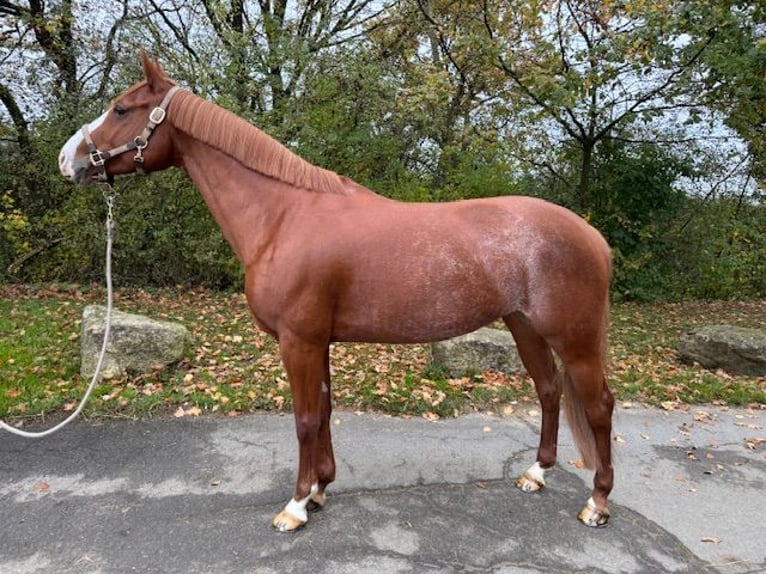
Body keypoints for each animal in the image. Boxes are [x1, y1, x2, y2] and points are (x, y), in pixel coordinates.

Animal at [58, 51, 616, 532]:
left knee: (598, 407)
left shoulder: (299, 341)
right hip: (525, 328)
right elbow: (324, 412)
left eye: (121, 108)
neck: (282, 217)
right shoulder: (317, 342)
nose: (69, 160)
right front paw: (320, 490)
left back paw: (598, 502)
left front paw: (295, 506)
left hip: (575, 340)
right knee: (548, 391)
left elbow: (305, 419)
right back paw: (536, 474)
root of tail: (594, 237)